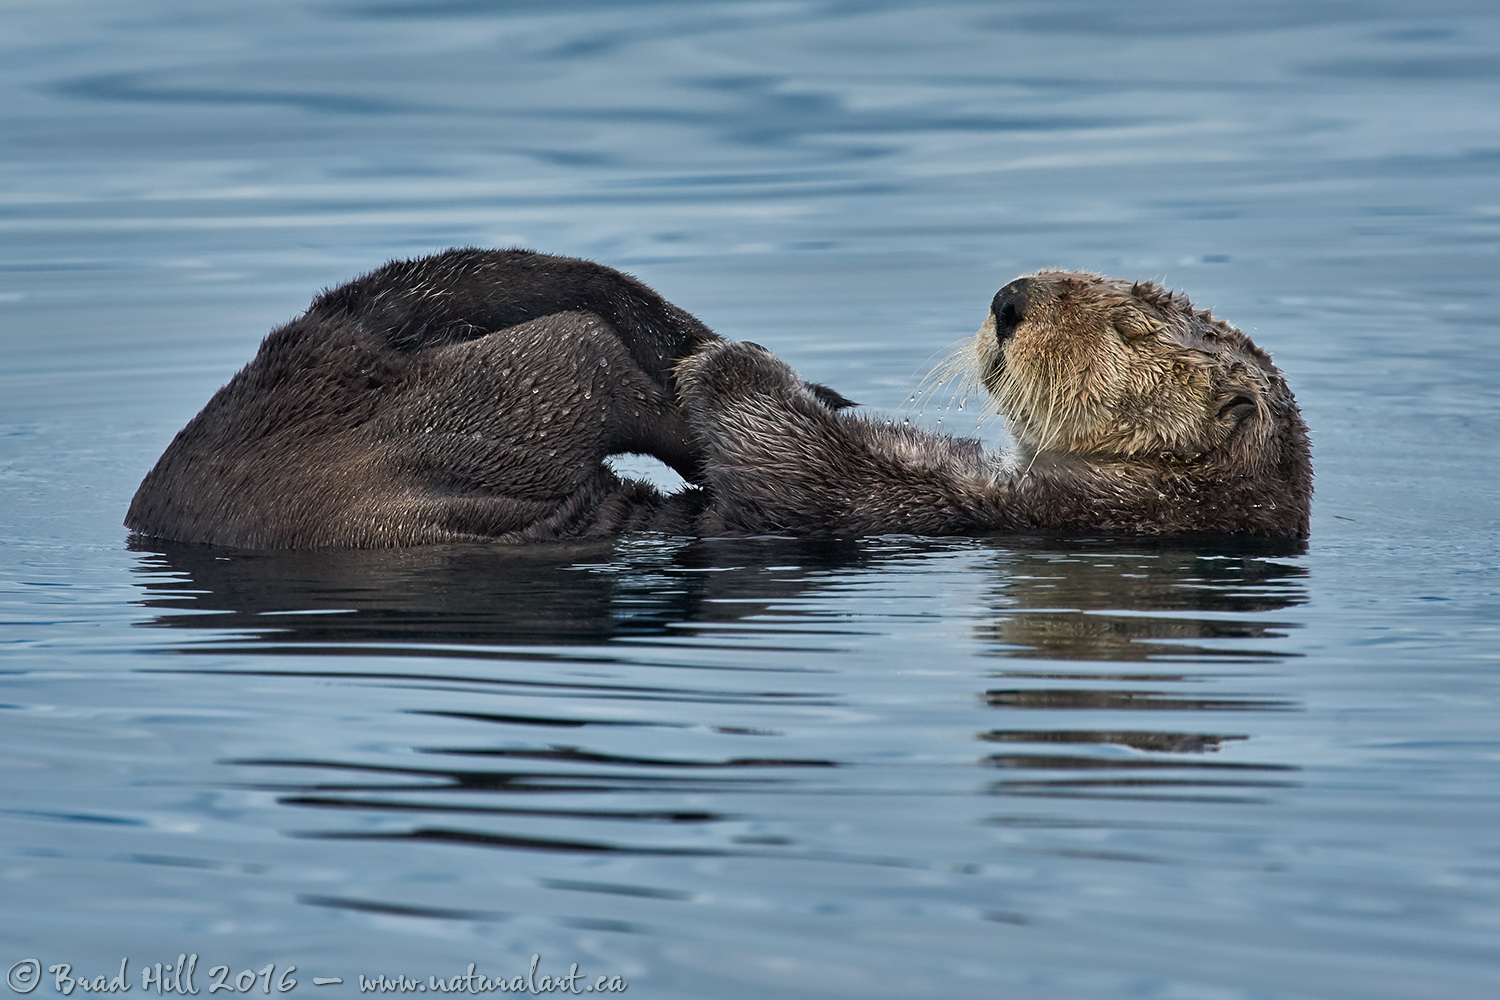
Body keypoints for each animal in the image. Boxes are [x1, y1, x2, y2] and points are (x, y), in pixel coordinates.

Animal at [123, 250, 1308, 548]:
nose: (1010, 300)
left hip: (458, 425)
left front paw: (736, 371)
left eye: (1134, 329)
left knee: (591, 359)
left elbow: (793, 458)